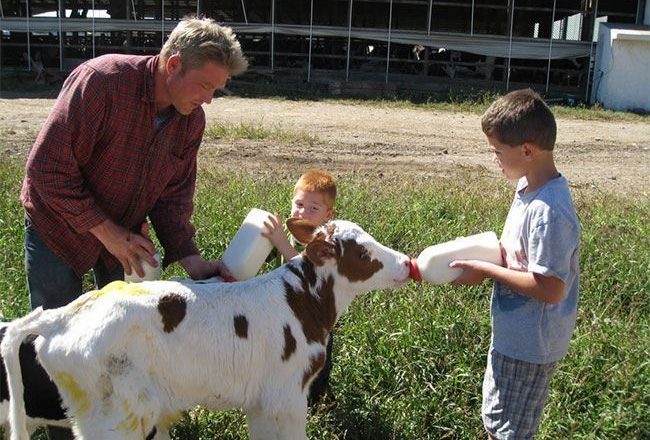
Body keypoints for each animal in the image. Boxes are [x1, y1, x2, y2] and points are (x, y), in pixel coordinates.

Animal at [1, 220, 410, 440]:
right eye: (363, 253)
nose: (406, 263)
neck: (301, 301)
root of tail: (63, 315)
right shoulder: (288, 395)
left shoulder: (262, 401)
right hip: (115, 417)